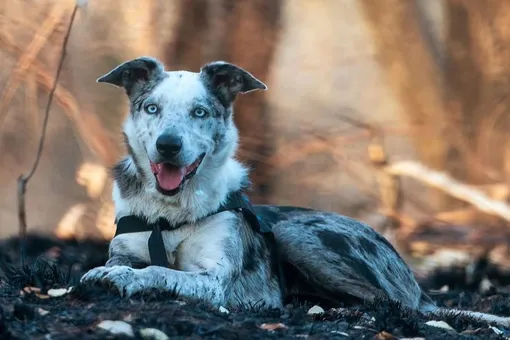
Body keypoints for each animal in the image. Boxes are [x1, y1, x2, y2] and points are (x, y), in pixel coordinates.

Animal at [81, 56, 510, 326]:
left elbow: (159, 270)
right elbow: (128, 263)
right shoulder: (127, 247)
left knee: (393, 304)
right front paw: (110, 272)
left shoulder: (214, 280)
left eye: (199, 112)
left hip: (296, 235)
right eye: (151, 108)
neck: (170, 213)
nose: (168, 145)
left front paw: (124, 279)